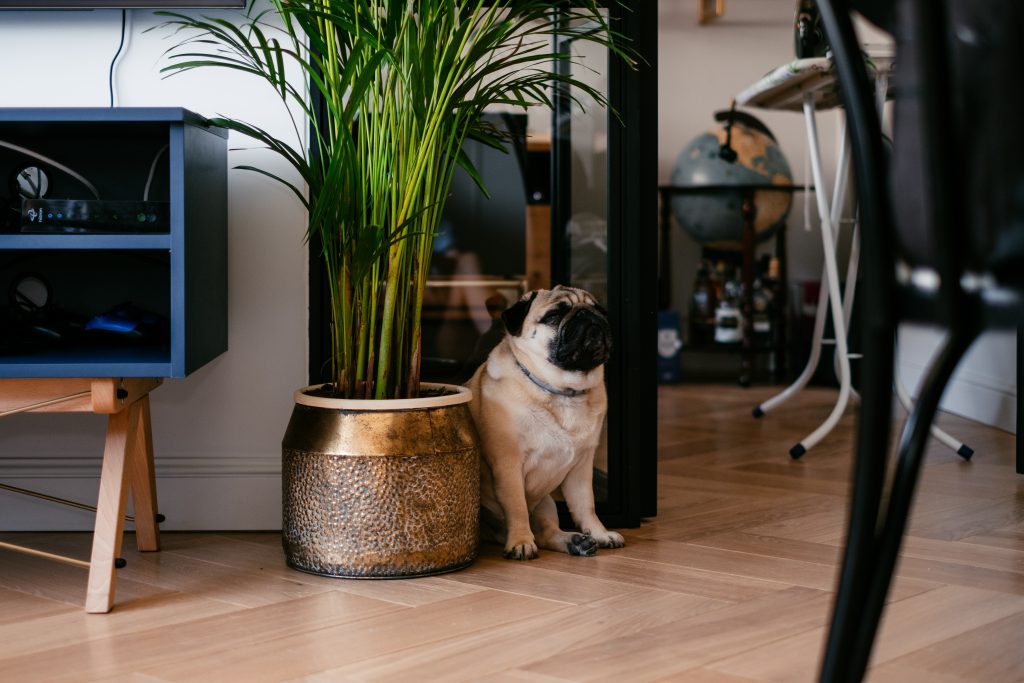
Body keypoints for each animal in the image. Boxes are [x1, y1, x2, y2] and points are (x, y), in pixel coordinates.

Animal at [466, 286, 622, 557]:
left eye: (600, 311)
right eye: (554, 316)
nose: (586, 314)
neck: (563, 391)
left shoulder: (581, 469)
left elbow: (587, 506)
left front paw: (600, 533)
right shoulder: (508, 465)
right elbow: (517, 507)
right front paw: (520, 541)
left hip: (546, 503)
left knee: (547, 533)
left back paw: (576, 541)